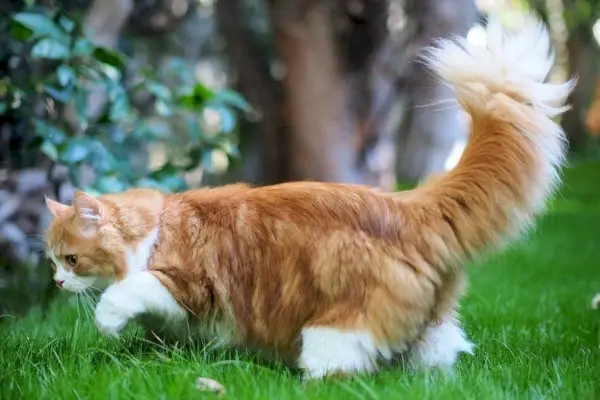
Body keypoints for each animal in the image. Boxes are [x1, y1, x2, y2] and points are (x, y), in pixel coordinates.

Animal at [44, 16, 576, 382]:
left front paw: (107, 319)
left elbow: (130, 292)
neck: (155, 230)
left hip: (335, 326)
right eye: (51, 261)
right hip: (428, 326)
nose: (56, 282)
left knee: (346, 370)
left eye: (71, 259)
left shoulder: (188, 284)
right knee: (439, 358)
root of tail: (407, 204)